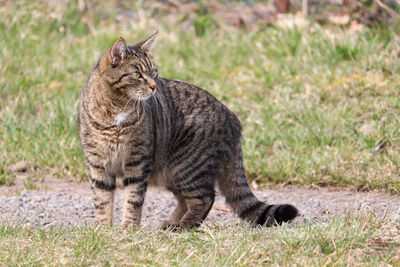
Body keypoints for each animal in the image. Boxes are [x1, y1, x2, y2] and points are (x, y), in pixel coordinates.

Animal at [78, 32, 296, 230]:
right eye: (137, 75)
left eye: (154, 72)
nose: (154, 86)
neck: (116, 111)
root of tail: (234, 119)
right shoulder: (97, 164)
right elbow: (102, 199)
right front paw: (103, 229)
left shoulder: (138, 162)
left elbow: (133, 199)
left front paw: (128, 228)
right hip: (173, 172)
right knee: (186, 200)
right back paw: (171, 223)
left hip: (188, 166)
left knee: (205, 198)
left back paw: (183, 226)